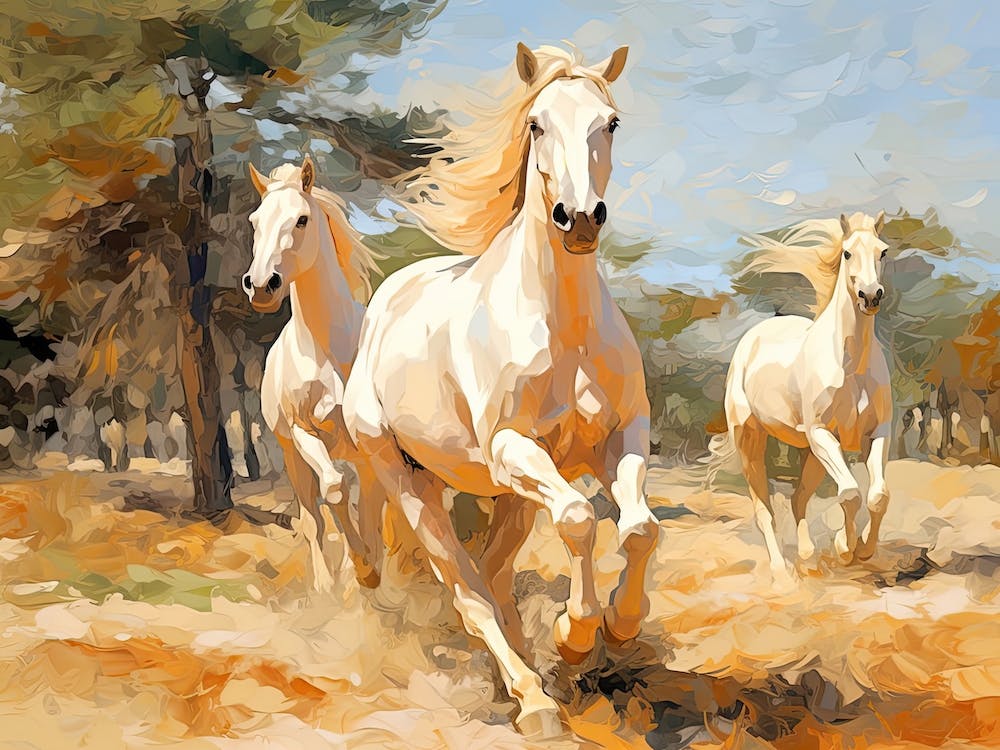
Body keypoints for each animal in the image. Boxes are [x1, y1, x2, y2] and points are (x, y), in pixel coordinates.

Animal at [243, 156, 385, 593]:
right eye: (255, 221)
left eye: (301, 219)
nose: (260, 286)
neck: (327, 352)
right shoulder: (303, 432)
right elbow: (335, 495)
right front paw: (362, 569)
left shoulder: (368, 448)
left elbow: (369, 512)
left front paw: (368, 568)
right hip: (292, 457)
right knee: (313, 518)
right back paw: (326, 586)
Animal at [341, 44, 660, 737]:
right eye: (536, 124)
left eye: (611, 122)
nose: (579, 219)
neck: (564, 326)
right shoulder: (515, 448)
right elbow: (579, 519)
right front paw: (575, 634)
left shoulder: (620, 439)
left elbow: (639, 528)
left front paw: (620, 628)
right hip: (412, 482)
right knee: (469, 589)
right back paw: (533, 701)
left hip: (508, 494)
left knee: (492, 575)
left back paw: (533, 684)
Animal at [711, 211, 892, 587]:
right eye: (847, 253)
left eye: (883, 251)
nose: (871, 296)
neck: (851, 365)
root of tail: (752, 338)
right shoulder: (823, 435)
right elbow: (850, 493)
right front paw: (845, 548)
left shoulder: (879, 433)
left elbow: (877, 496)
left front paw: (863, 549)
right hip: (751, 440)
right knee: (764, 509)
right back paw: (782, 573)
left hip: (809, 452)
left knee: (797, 499)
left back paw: (808, 559)